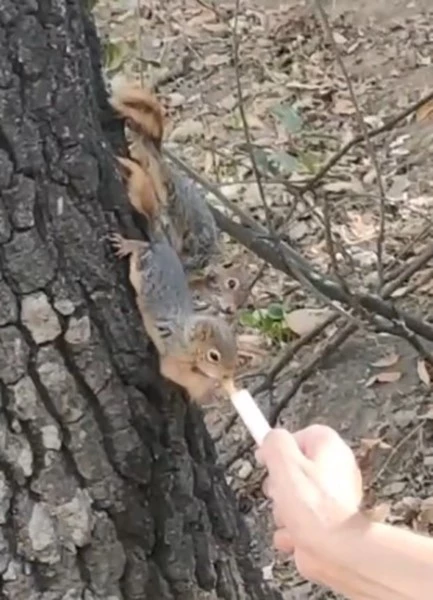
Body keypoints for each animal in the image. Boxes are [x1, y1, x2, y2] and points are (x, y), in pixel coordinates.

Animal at [108, 232, 236, 400]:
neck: (188, 337)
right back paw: (126, 244)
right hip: (143, 265)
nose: (227, 375)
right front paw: (207, 390)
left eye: (235, 350)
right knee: (141, 247)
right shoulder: (174, 352)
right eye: (214, 356)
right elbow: (174, 372)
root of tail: (161, 247)